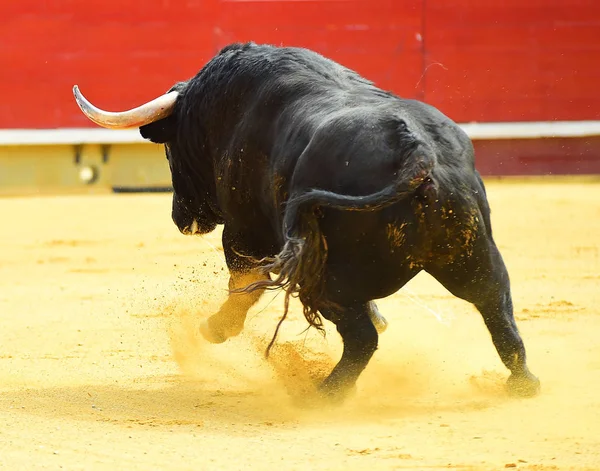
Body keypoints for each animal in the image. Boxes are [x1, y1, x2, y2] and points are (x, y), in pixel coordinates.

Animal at [74, 42, 540, 402]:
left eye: (170, 148)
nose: (180, 219)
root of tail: (417, 154)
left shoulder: (246, 232)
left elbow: (243, 284)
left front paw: (214, 328)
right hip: (474, 253)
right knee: (497, 310)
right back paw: (522, 384)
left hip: (330, 279)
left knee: (362, 338)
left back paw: (324, 393)